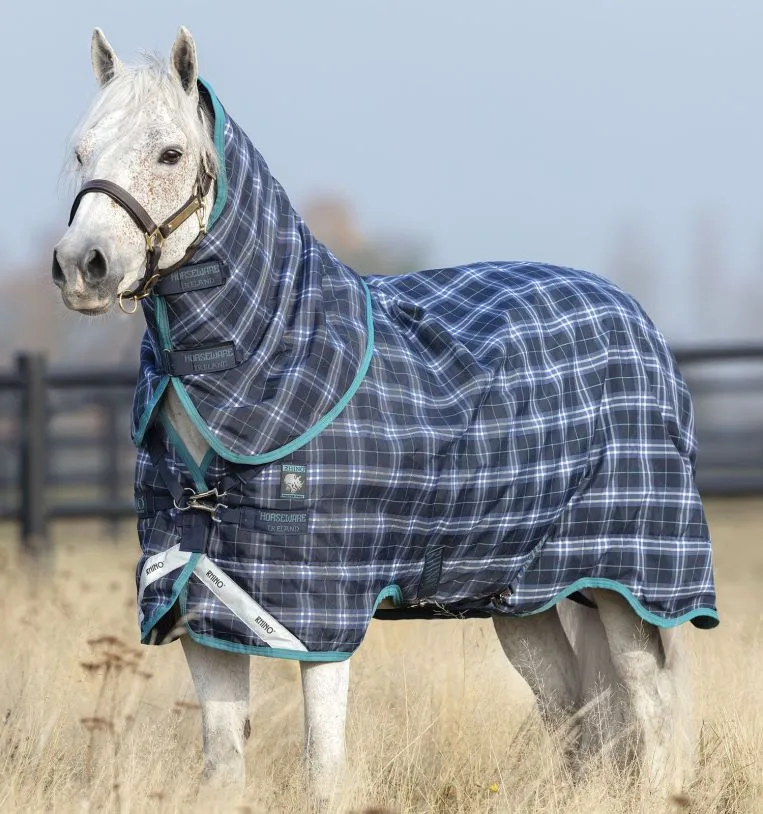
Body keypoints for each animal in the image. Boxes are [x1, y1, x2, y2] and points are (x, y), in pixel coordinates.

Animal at [52, 27, 718, 807]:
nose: (83, 266)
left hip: (628, 590)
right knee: (575, 716)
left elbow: (322, 764)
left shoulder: (318, 616)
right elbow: (223, 761)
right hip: (524, 598)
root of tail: (633, 317)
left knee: (650, 714)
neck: (276, 354)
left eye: (170, 153)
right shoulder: (197, 599)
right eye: (81, 150)